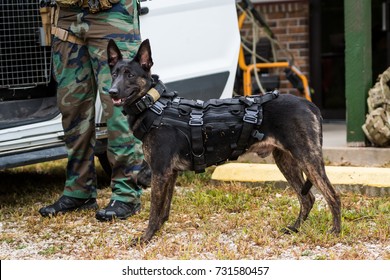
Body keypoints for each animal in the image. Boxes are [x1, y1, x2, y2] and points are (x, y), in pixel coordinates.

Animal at [107, 38, 342, 244]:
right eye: (114, 74)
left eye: (130, 75)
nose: (111, 91)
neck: (155, 105)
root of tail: (309, 104)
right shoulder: (170, 173)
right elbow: (164, 210)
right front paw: (157, 231)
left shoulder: (160, 172)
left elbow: (154, 211)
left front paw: (145, 238)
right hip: (286, 161)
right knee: (307, 198)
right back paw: (294, 228)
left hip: (307, 158)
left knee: (333, 195)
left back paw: (335, 232)